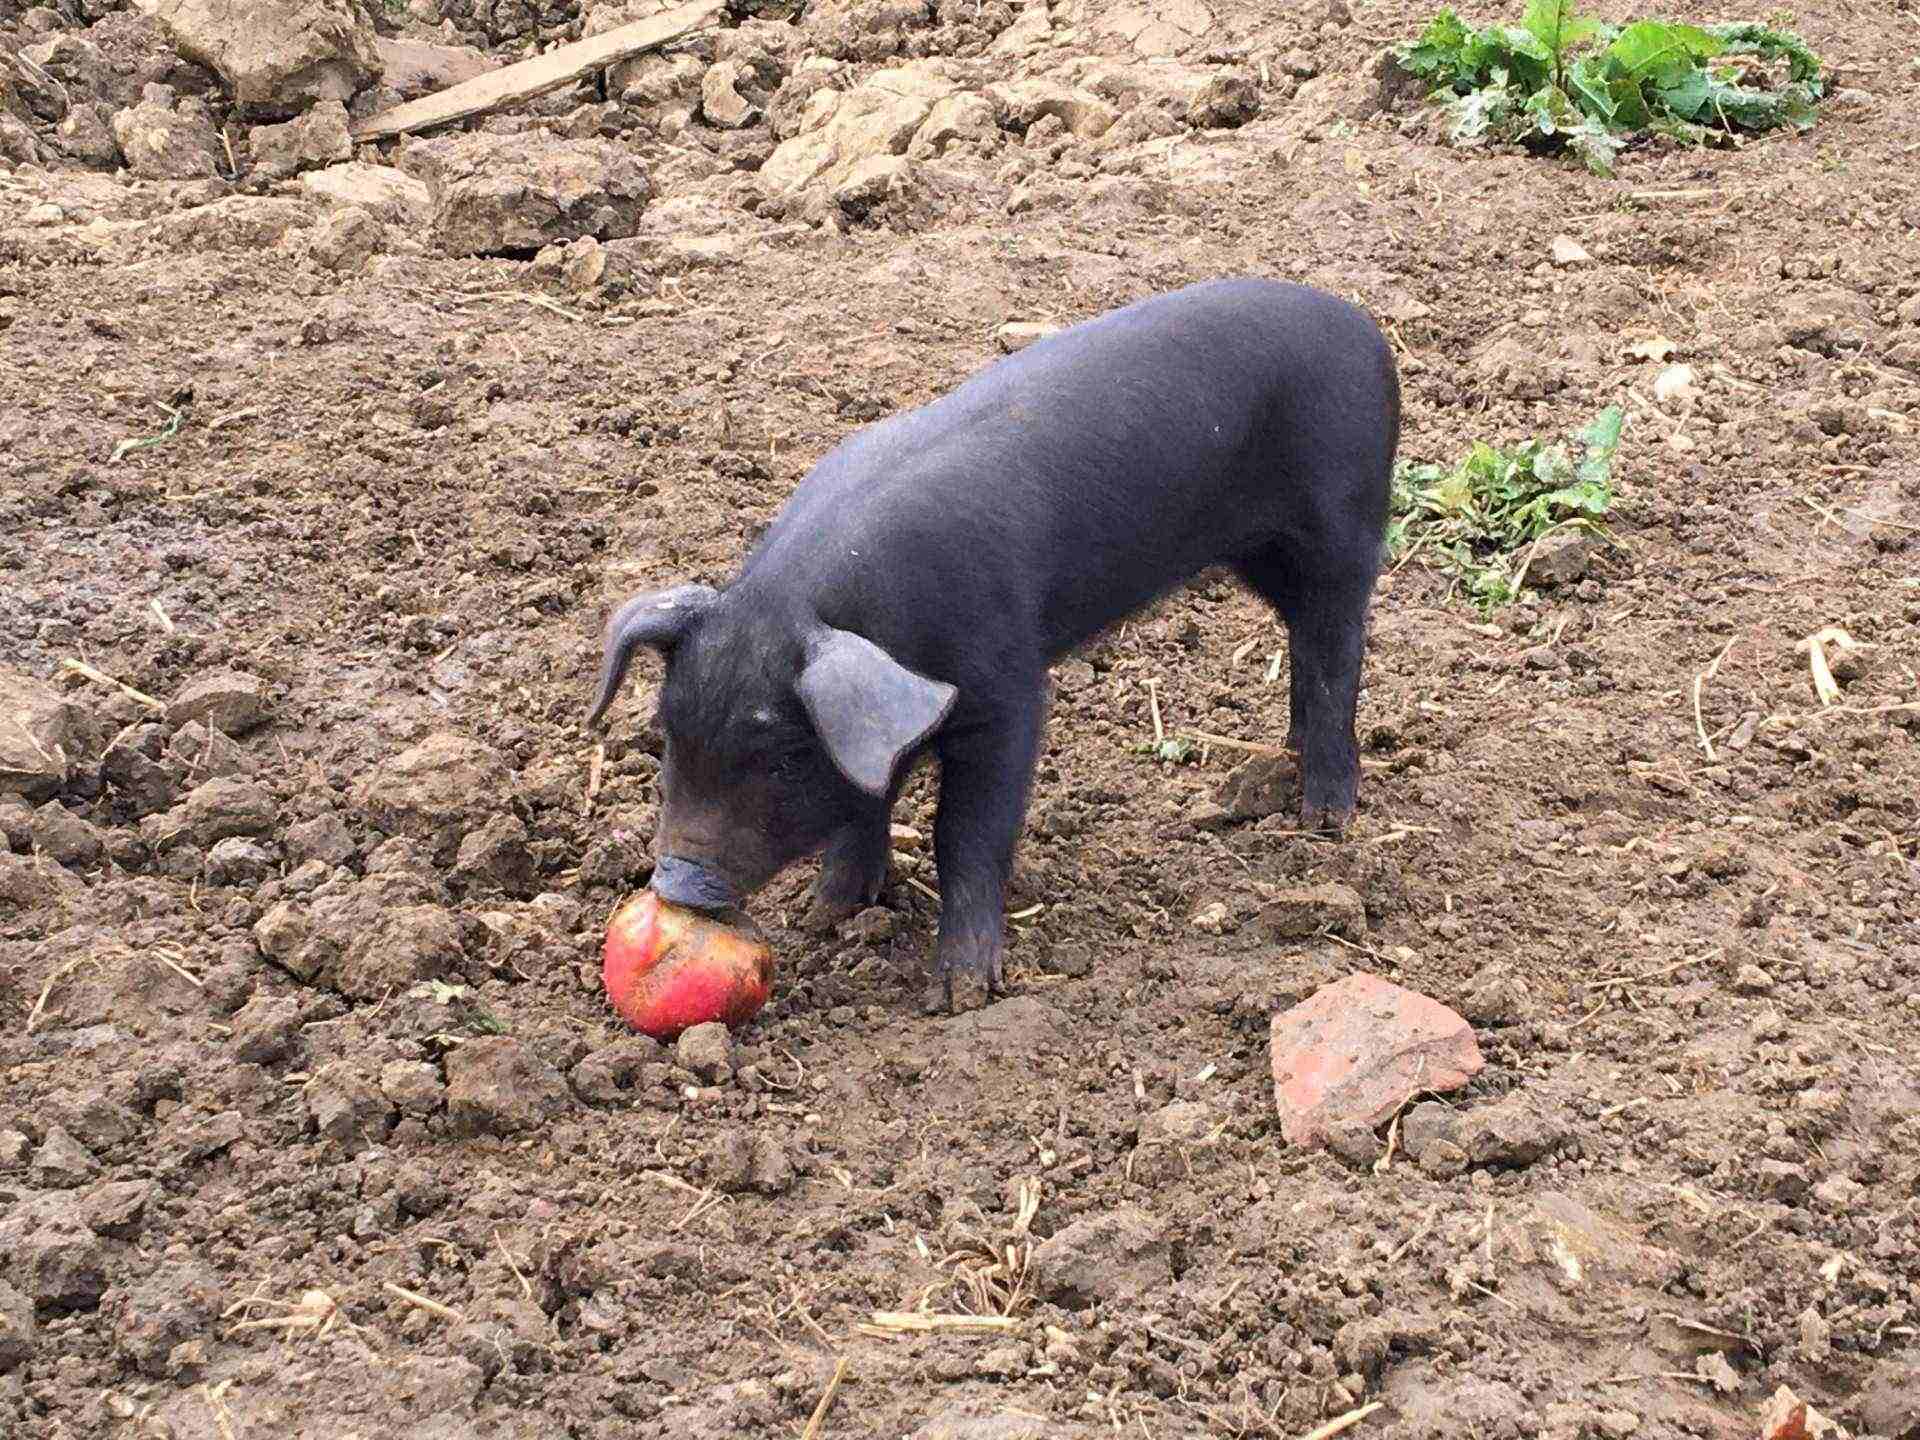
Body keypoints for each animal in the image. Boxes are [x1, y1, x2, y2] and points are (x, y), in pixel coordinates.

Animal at [588, 276, 1400, 1009]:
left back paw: (1324, 819)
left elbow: (967, 832)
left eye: (782, 759)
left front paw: (960, 994)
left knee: (1336, 647)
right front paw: (828, 914)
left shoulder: (1007, 690)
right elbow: (867, 790)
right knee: (1302, 642)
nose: (677, 882)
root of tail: (1363, 325)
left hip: (1344, 520)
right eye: (669, 736)